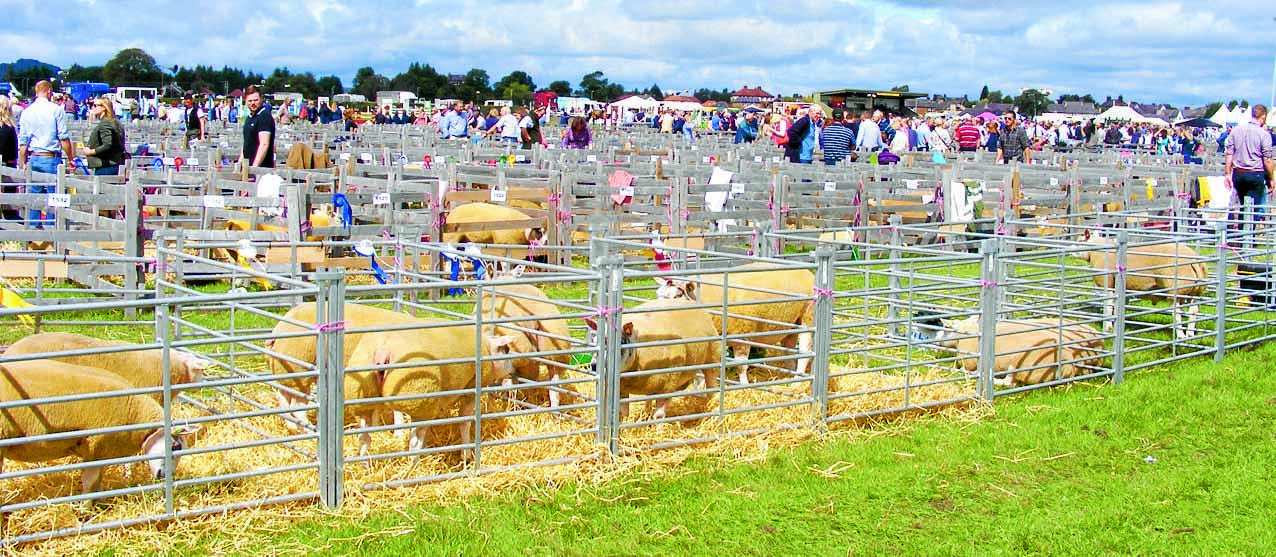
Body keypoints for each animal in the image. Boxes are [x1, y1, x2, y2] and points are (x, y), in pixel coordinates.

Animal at [0, 359, 199, 494]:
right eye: (175, 446)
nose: (165, 476)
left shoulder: (102, 453)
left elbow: (97, 485)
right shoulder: (96, 448)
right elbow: (90, 484)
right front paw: (87, 512)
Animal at [349, 323, 518, 458]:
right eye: (506, 350)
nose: (514, 370)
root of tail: (383, 350)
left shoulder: (435, 402)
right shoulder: (470, 389)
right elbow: (465, 422)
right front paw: (467, 455)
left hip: (366, 397)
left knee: (364, 439)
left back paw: (366, 467)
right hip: (418, 400)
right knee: (414, 444)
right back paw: (413, 471)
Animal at [584, 296, 724, 418]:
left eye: (622, 341)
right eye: (594, 339)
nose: (594, 366)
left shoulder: (667, 386)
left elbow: (659, 416)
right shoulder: (622, 389)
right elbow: (622, 413)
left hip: (713, 358)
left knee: (713, 388)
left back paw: (714, 411)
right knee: (649, 397)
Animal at [658, 262, 816, 384]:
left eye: (677, 296)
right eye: (658, 295)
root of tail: (808, 272)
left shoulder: (743, 336)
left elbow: (741, 366)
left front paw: (744, 385)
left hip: (808, 318)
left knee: (805, 351)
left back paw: (797, 381)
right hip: (792, 323)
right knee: (789, 347)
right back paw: (788, 374)